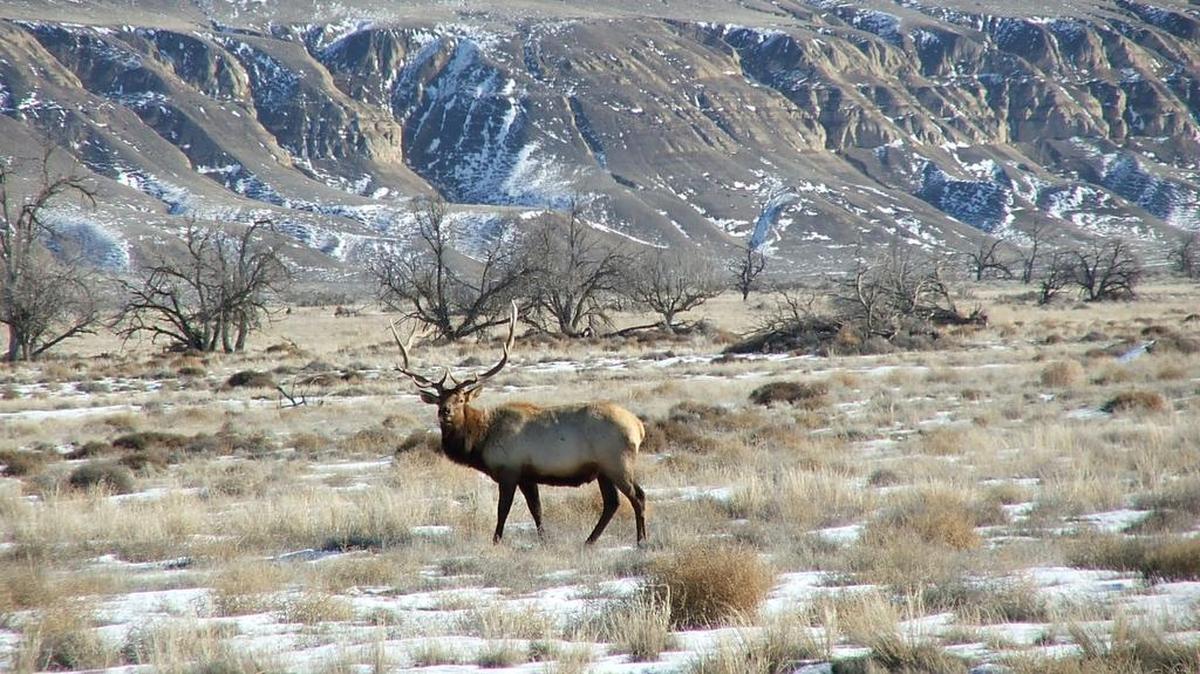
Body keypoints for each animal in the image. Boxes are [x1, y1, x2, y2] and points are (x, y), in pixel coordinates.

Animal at [391, 303, 648, 546]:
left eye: (461, 399)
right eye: (440, 399)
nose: (445, 411)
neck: (481, 440)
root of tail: (639, 427)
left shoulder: (510, 470)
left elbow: (503, 511)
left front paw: (496, 541)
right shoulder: (527, 476)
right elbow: (537, 510)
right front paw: (544, 539)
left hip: (617, 462)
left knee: (638, 496)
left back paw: (640, 541)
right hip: (603, 469)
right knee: (612, 503)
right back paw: (590, 541)